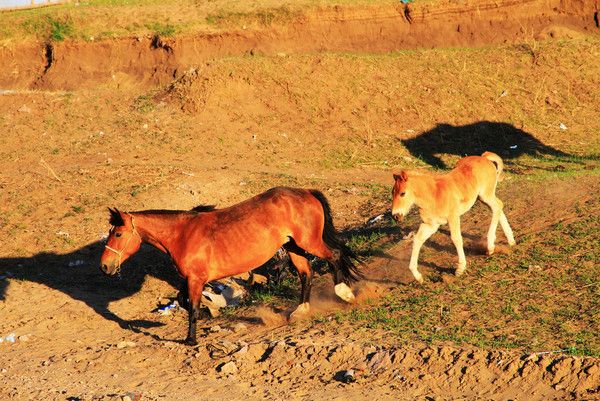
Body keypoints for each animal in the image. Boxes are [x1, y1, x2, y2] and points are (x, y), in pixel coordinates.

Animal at [100, 187, 360, 344]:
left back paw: (344, 293)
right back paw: (301, 311)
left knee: (335, 255)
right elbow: (184, 301)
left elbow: (192, 307)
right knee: (307, 273)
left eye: (118, 234)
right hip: (293, 246)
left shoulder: (196, 279)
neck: (183, 234)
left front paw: (190, 340)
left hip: (309, 242)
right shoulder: (191, 279)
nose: (105, 266)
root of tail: (306, 192)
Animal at [390, 151, 516, 282]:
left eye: (403, 193)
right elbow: (417, 240)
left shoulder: (453, 218)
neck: (434, 196)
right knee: (498, 206)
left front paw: (460, 269)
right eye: (392, 192)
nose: (396, 216)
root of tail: (484, 157)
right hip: (483, 198)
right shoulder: (430, 225)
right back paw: (510, 240)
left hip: (485, 195)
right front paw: (418, 277)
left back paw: (490, 247)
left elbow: (456, 239)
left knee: (497, 207)